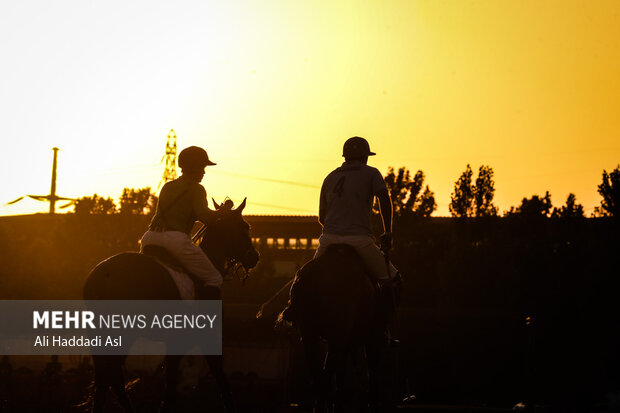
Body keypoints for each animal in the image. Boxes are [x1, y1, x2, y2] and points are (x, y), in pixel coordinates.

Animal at [82, 198, 260, 410]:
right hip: (123, 333)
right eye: (245, 227)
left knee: (108, 379)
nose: (254, 257)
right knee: (111, 377)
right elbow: (216, 380)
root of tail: (100, 277)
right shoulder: (203, 339)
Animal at [278, 243, 394, 410]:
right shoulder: (372, 337)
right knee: (328, 371)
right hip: (339, 334)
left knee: (318, 373)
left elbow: (340, 375)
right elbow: (372, 369)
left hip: (309, 334)